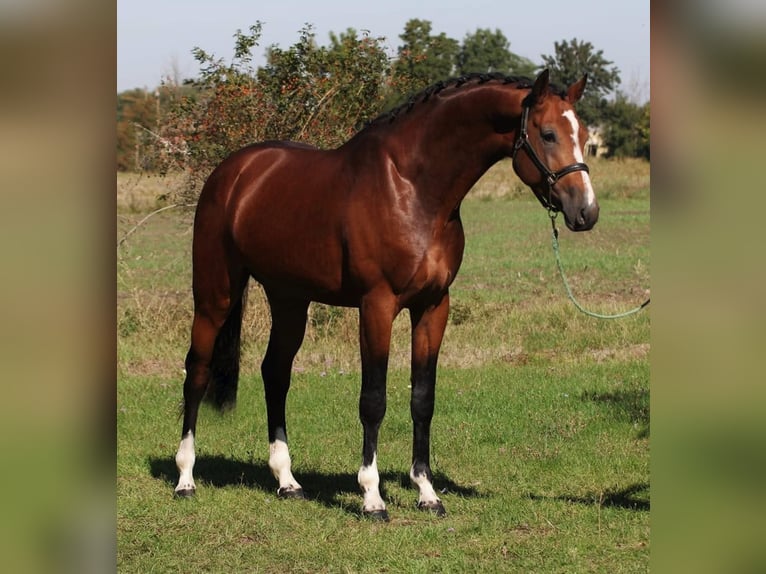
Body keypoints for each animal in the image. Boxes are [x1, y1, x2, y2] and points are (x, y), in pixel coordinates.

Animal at [172, 68, 600, 520]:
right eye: (548, 134)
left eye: (584, 133)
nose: (586, 211)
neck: (413, 189)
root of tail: (234, 171)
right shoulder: (377, 305)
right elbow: (373, 399)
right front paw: (372, 497)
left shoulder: (433, 306)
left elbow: (423, 398)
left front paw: (427, 492)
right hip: (215, 295)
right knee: (196, 372)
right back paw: (185, 479)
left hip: (289, 300)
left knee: (275, 372)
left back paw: (287, 481)